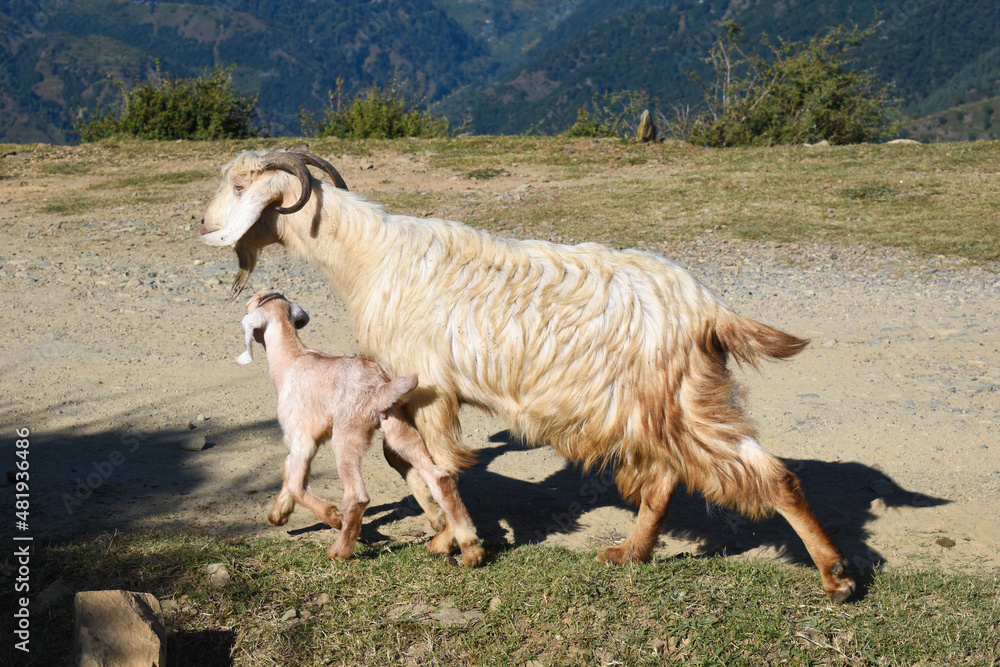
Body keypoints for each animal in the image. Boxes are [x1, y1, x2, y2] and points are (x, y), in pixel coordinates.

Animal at [237, 290, 483, 565]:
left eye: (253, 301)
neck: (292, 358)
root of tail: (379, 388)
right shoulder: (300, 441)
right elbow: (288, 471)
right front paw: (278, 513)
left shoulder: (301, 437)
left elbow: (296, 485)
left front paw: (333, 517)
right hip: (400, 429)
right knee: (439, 478)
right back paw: (470, 548)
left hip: (347, 436)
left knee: (357, 496)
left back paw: (339, 550)